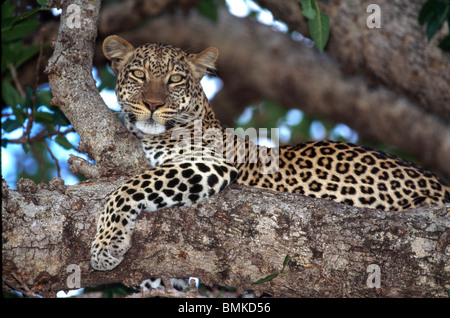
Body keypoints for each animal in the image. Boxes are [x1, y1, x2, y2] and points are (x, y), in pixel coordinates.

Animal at [89, 36, 448, 272]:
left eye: (175, 79)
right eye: (139, 74)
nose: (153, 104)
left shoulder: (210, 164)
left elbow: (129, 188)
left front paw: (106, 245)